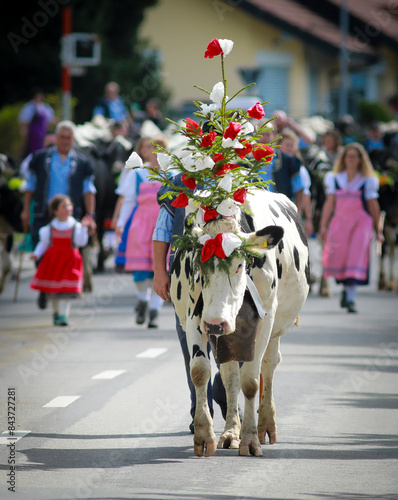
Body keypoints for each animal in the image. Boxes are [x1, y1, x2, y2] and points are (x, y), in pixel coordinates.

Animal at [169, 188, 310, 458]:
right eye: (198, 266)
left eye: (239, 265)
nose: (216, 324)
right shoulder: (195, 316)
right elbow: (200, 371)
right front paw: (205, 435)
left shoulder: (266, 320)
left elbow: (252, 380)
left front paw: (251, 439)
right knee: (230, 374)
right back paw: (231, 432)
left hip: (277, 328)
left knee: (268, 365)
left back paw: (265, 424)